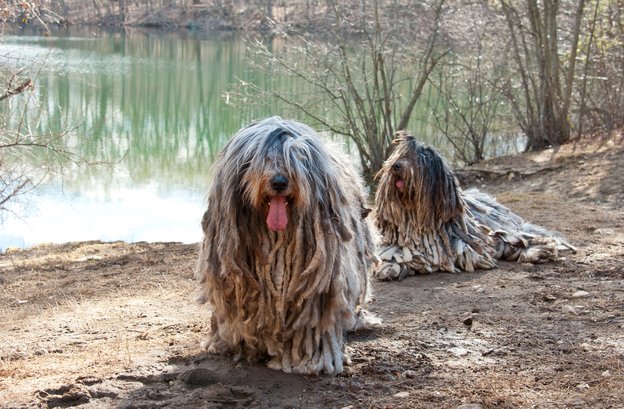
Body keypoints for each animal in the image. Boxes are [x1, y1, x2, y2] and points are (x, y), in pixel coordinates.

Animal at [372, 131, 572, 280]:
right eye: (402, 155)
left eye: (418, 160)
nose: (396, 166)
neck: (416, 220)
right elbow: (394, 254)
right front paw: (389, 267)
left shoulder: (468, 248)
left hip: (505, 232)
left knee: (523, 241)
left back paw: (538, 251)